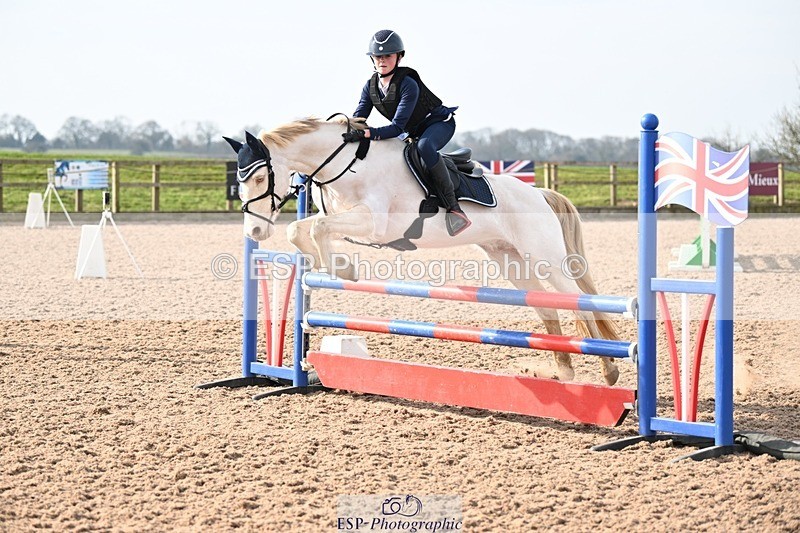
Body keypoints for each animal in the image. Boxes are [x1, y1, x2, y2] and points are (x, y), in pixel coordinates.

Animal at [225, 115, 621, 386]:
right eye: (239, 181)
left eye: (259, 178)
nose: (255, 231)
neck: (346, 166)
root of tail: (539, 193)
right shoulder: (337, 217)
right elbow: (301, 229)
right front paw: (331, 266)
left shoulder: (375, 223)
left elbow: (317, 229)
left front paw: (341, 268)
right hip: (510, 259)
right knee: (548, 308)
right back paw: (564, 372)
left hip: (545, 259)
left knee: (581, 307)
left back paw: (609, 370)